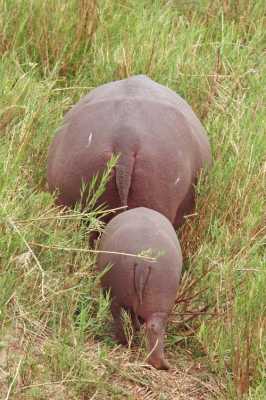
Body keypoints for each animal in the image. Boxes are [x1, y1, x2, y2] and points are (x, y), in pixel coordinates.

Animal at [97, 208, 183, 370]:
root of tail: (143, 262)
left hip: (115, 295)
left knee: (119, 317)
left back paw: (123, 341)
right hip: (160, 301)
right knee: (155, 326)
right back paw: (161, 364)